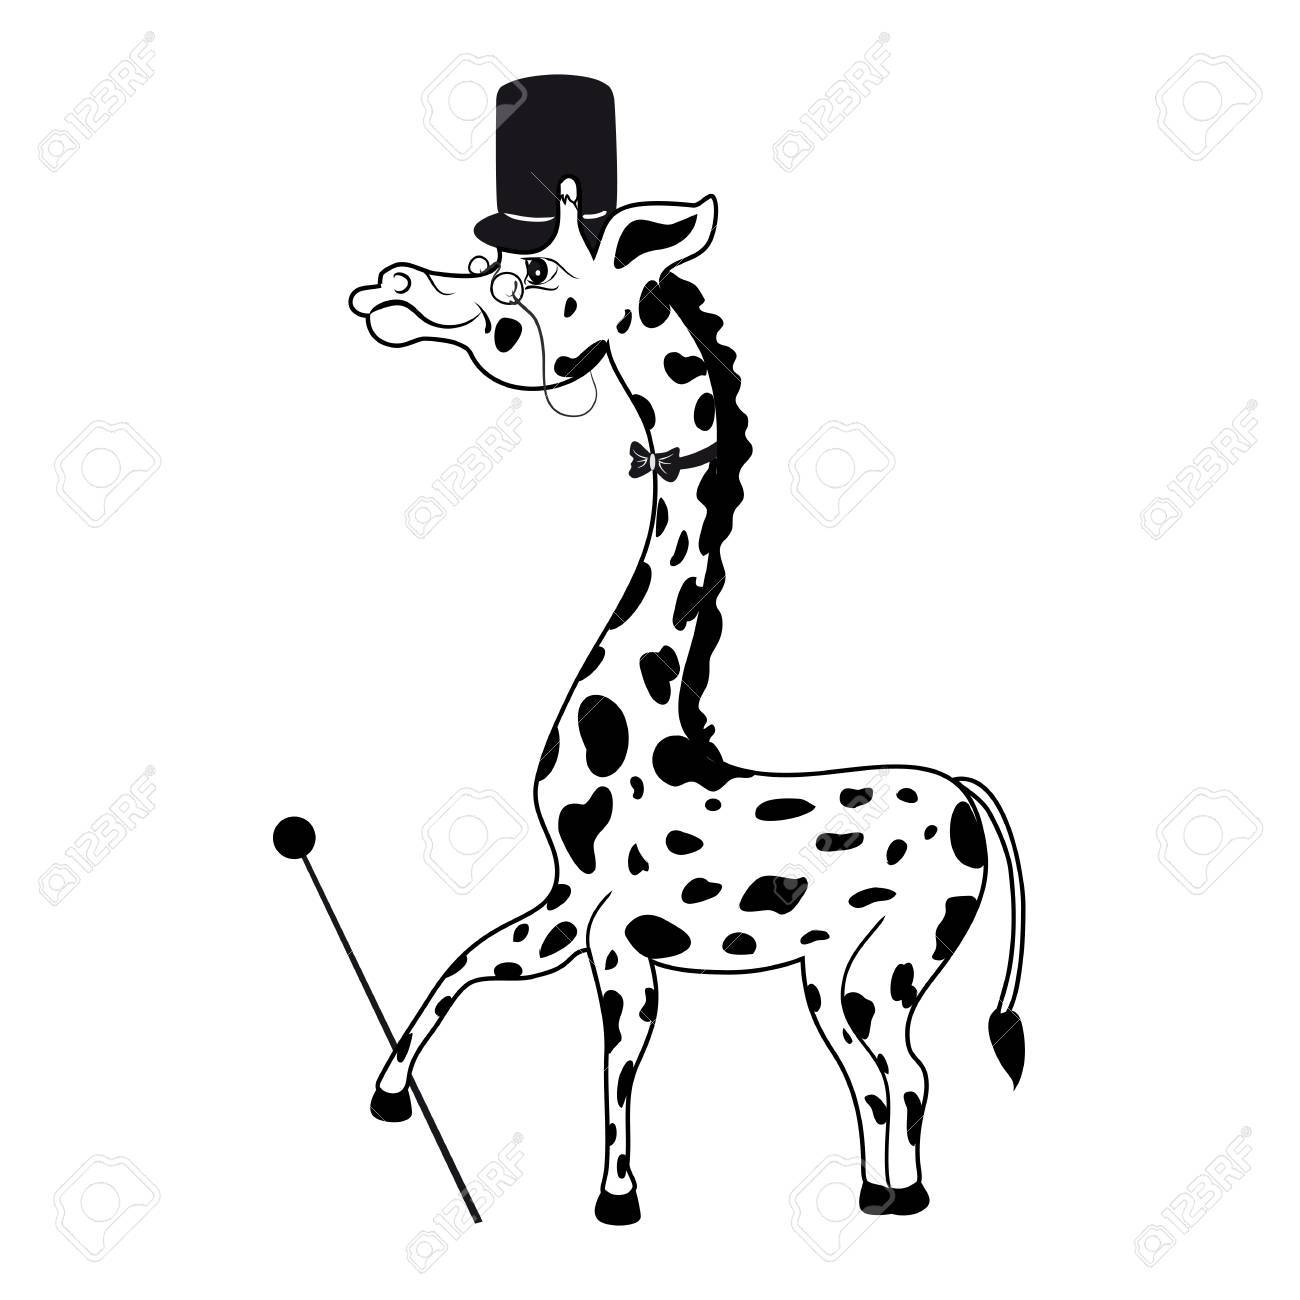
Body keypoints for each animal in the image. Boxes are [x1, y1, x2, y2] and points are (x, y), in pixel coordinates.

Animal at [348, 178, 1027, 1225]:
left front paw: (616, 1201)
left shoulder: (614, 933)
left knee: (906, 1071)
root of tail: (968, 796)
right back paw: (879, 1194)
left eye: (531, 273)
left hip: (902, 954)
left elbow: (616, 1060)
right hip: (834, 970)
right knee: (876, 1073)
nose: (388, 289)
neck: (640, 730)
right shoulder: (567, 909)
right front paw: (389, 1095)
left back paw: (901, 1197)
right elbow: (466, 960)